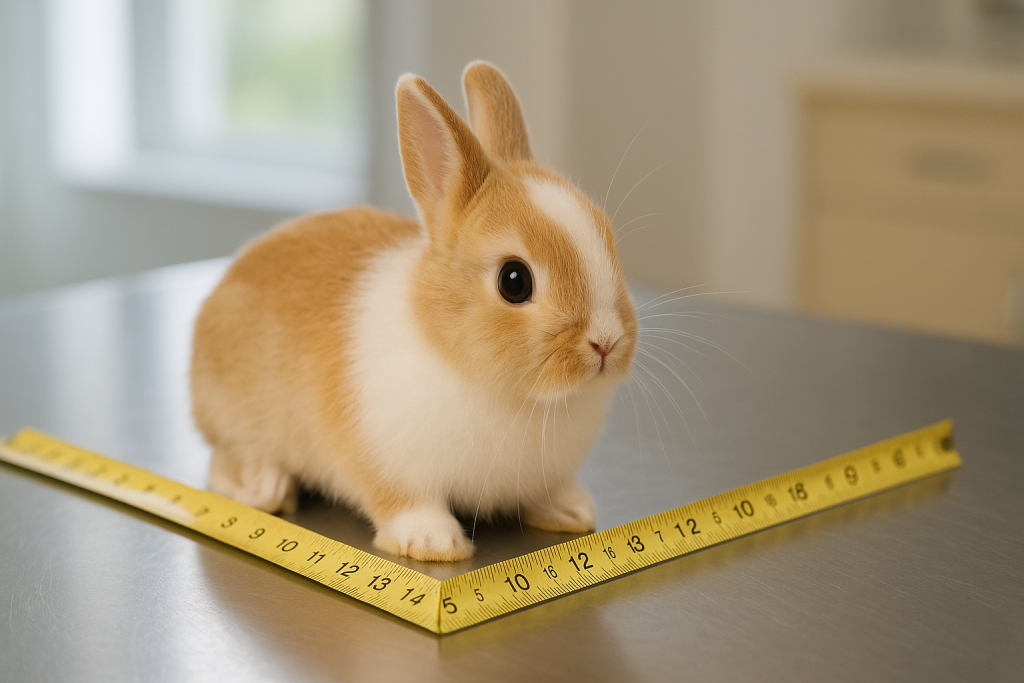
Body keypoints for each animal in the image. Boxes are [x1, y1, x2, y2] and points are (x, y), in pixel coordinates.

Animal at [190, 62, 638, 562]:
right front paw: (433, 543)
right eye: (514, 282)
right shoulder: (387, 464)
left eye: (608, 241)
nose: (606, 342)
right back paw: (265, 487)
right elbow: (406, 502)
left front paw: (571, 512)